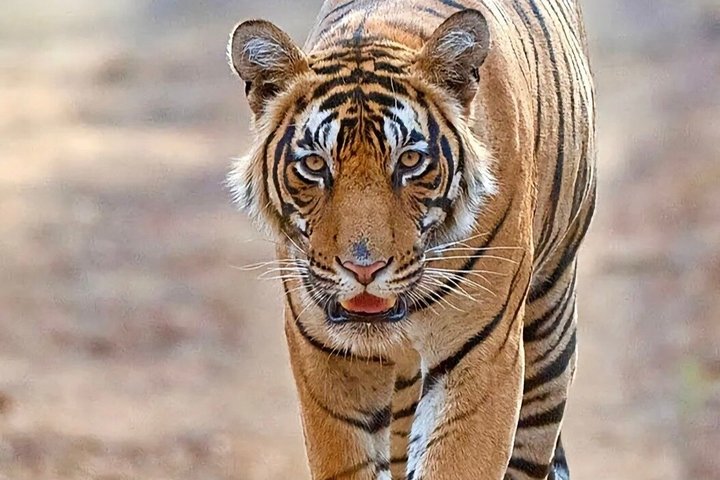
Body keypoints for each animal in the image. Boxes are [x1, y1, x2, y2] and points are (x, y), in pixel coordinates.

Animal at [226, 0, 595, 478]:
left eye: (410, 161)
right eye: (314, 164)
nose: (363, 268)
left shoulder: (481, 352)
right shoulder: (327, 358)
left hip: (550, 329)